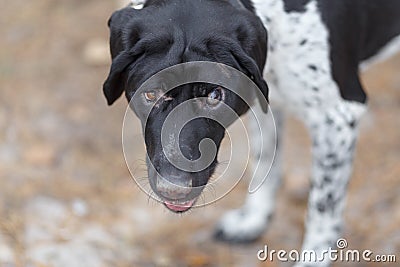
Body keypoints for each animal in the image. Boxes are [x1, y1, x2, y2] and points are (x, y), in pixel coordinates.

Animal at [103, 1, 400, 266]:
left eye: (215, 95)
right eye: (150, 94)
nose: (173, 189)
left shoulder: (337, 118)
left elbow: (322, 209)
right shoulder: (265, 99)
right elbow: (266, 162)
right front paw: (253, 221)